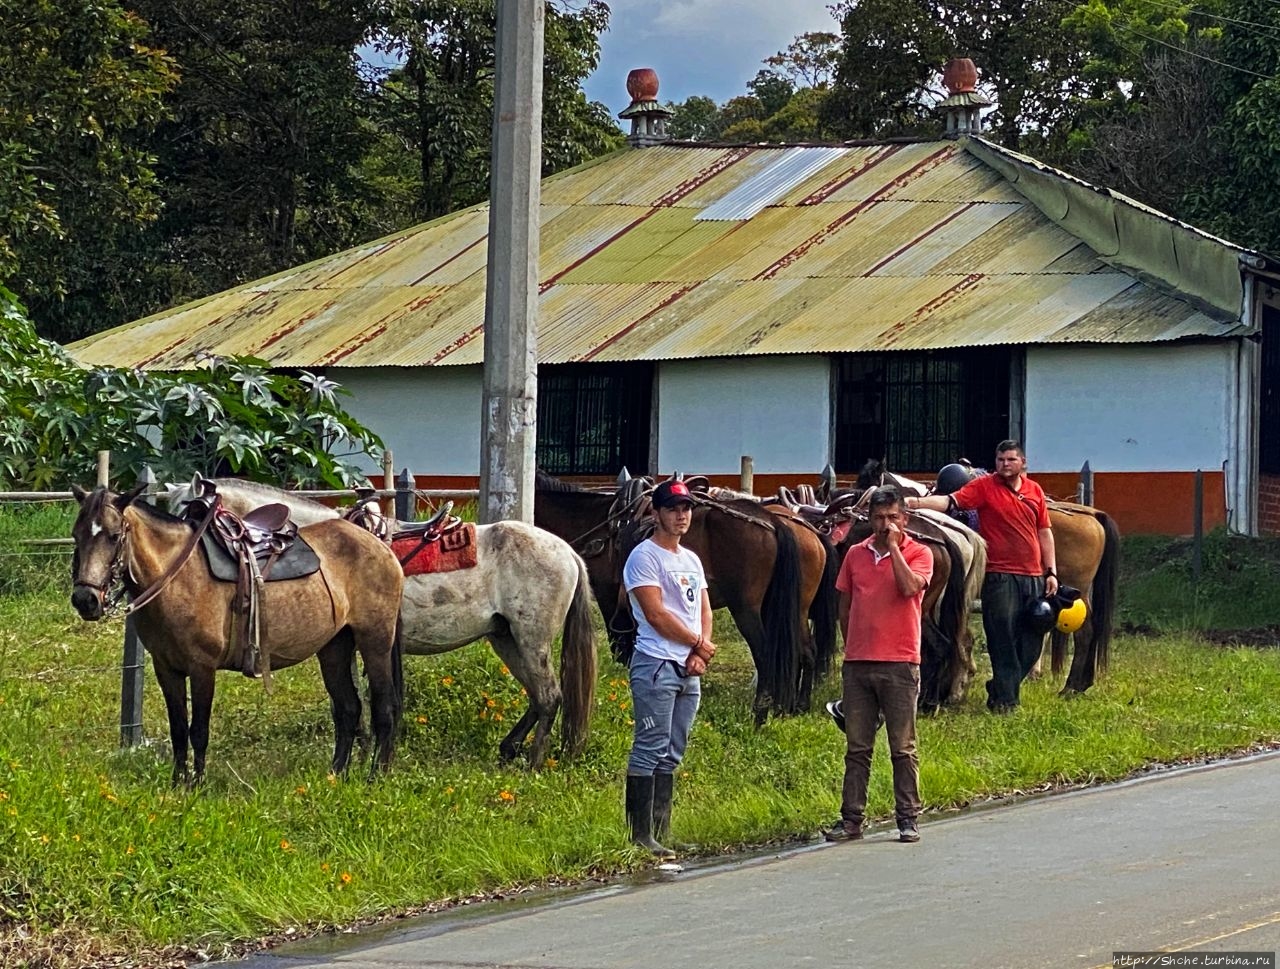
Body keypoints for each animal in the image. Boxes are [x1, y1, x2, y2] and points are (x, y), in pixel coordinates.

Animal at [66, 483, 404, 788]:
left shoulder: (202, 669)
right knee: (348, 709)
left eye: (113, 536)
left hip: (375, 642)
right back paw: (336, 775)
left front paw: (197, 786)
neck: (179, 577)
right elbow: (178, 729)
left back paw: (376, 777)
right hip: (334, 648)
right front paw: (176, 785)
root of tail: (381, 547)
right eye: (76, 535)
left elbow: (198, 730)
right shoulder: (167, 669)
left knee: (383, 709)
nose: (86, 600)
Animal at [166, 476, 599, 762]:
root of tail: (567, 552)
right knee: (538, 696)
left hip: (531, 639)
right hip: (506, 637)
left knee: (549, 695)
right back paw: (510, 750)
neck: (325, 545)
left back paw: (534, 761)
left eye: (191, 512)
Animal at [532, 473, 839, 721]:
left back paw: (761, 710)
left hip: (747, 609)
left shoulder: (611, 597)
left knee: (765, 652)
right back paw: (795, 706)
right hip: (793, 610)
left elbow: (626, 644)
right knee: (805, 651)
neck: (602, 525)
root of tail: (775, 522)